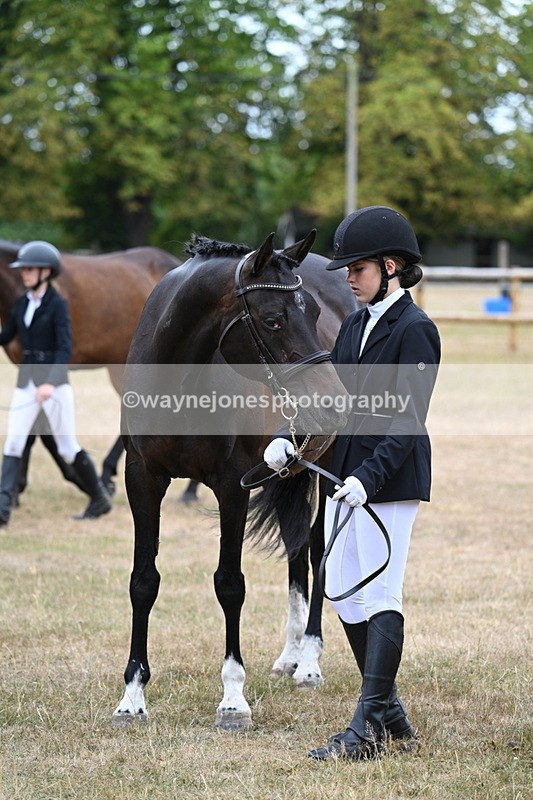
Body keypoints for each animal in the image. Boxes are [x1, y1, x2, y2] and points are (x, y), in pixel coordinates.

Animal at [113, 230, 358, 730]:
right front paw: (132, 696)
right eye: (272, 319)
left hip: (323, 474)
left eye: (314, 313)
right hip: (288, 469)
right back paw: (290, 654)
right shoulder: (142, 479)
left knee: (318, 551)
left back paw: (308, 661)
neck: (181, 381)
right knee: (298, 548)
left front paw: (232, 698)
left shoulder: (231, 487)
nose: (333, 403)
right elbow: (143, 581)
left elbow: (230, 584)